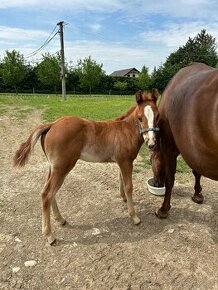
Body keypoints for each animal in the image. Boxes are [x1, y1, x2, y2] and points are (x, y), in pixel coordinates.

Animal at [14, 90, 160, 245]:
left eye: (157, 115)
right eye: (139, 117)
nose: (151, 143)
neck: (125, 131)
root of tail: (52, 124)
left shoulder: (121, 162)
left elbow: (121, 180)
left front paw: (124, 199)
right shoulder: (125, 161)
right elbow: (129, 186)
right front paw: (134, 216)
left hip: (53, 167)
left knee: (49, 192)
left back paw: (60, 219)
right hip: (62, 168)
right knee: (47, 194)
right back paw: (49, 235)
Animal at [153, 62, 218, 218]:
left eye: (152, 159)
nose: (156, 183)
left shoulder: (168, 146)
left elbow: (170, 178)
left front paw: (164, 209)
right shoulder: (197, 151)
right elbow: (197, 172)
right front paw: (197, 194)